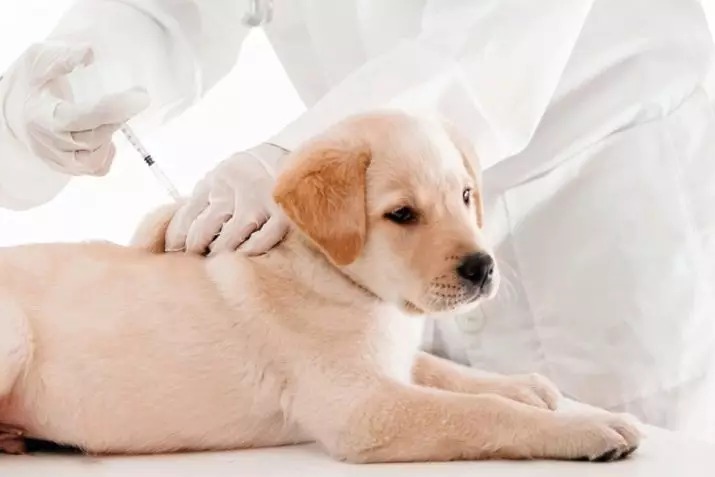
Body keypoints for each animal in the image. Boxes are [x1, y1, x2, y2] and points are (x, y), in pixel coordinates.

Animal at [0, 111, 640, 462]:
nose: (483, 269)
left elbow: (445, 371)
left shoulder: (390, 359)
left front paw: (521, 385)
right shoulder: (364, 407)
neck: (331, 273)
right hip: (15, 337)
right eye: (402, 215)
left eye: (464, 195)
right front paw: (584, 427)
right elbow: (479, 414)